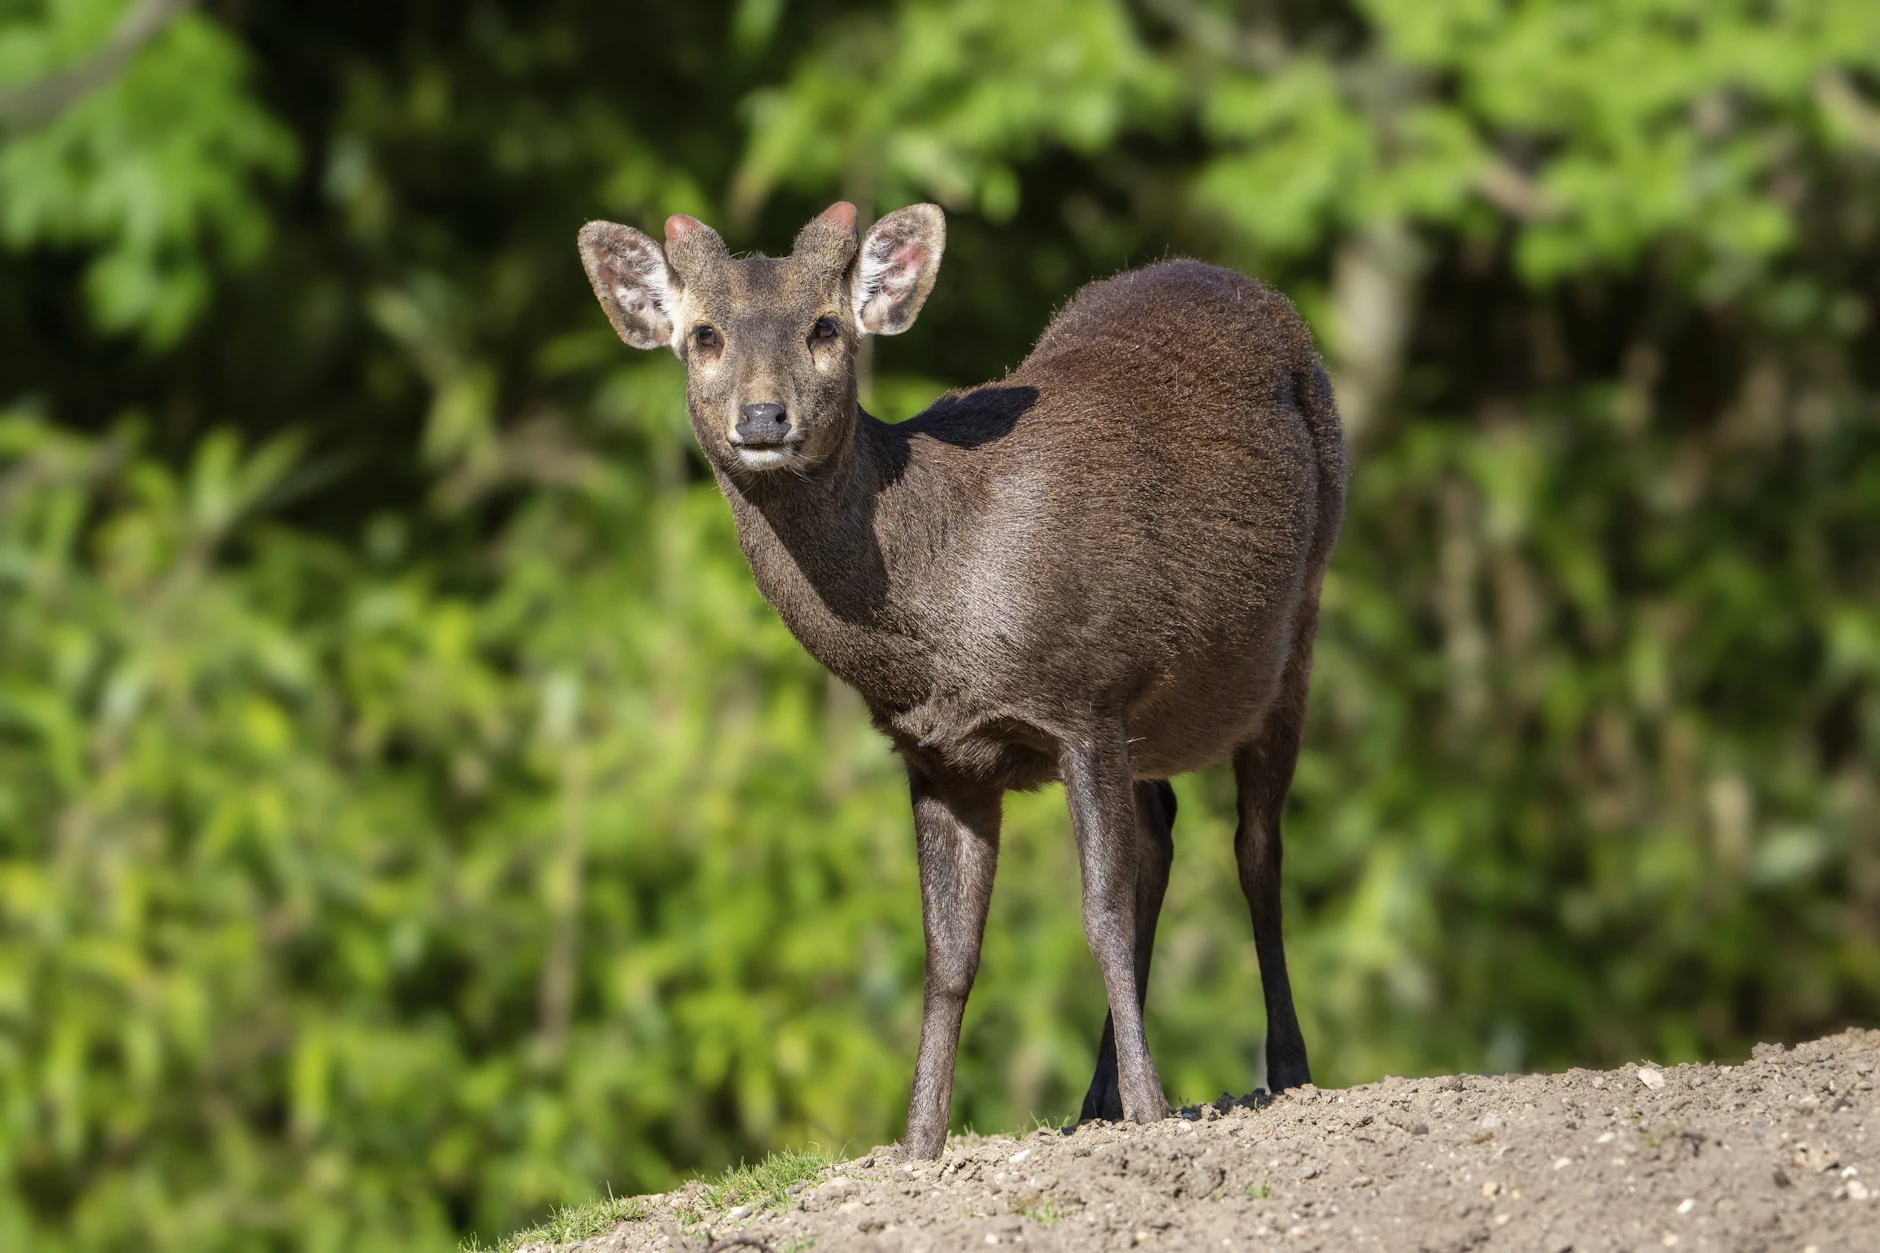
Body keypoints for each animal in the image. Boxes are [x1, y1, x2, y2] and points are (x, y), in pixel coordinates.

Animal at [577, 201, 1345, 1159]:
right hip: (1158, 718)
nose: (762, 416)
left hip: (1300, 620)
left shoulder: (1084, 693)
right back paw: (1094, 1096)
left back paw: (1286, 1066)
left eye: (824, 327)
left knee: (1256, 846)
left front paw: (1154, 1108)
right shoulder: (939, 754)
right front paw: (918, 1141)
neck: (946, 622)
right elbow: (948, 952)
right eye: (705, 334)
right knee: (1165, 834)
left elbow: (1098, 910)